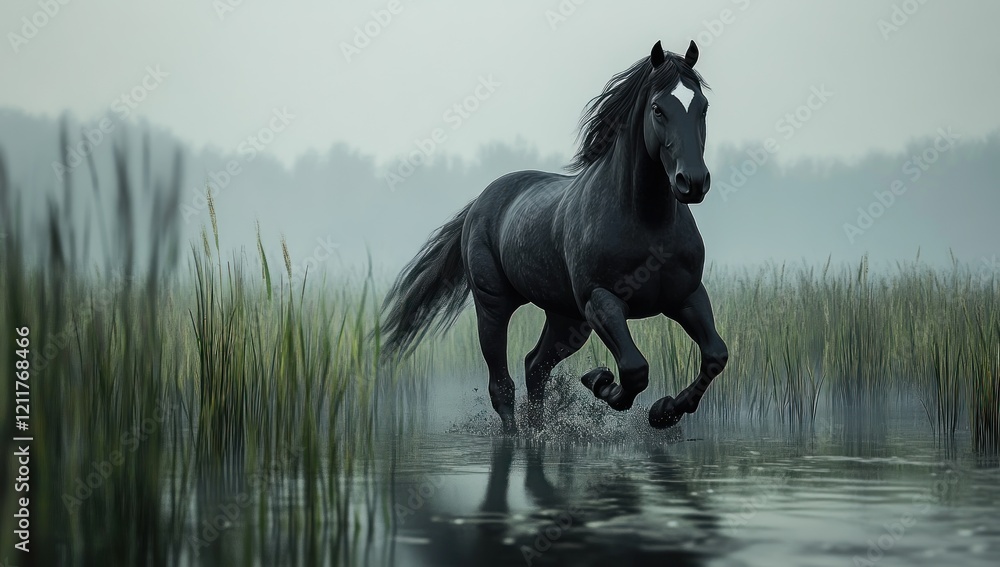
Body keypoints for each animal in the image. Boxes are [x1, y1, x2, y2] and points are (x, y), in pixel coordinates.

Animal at [380, 40, 728, 434]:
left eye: (703, 106)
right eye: (658, 109)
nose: (693, 182)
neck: (648, 223)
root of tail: (480, 202)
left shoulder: (686, 296)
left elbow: (715, 356)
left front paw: (664, 411)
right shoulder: (601, 300)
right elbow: (634, 369)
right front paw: (601, 381)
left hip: (566, 319)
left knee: (535, 366)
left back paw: (539, 427)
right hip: (494, 306)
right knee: (502, 384)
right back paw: (519, 431)